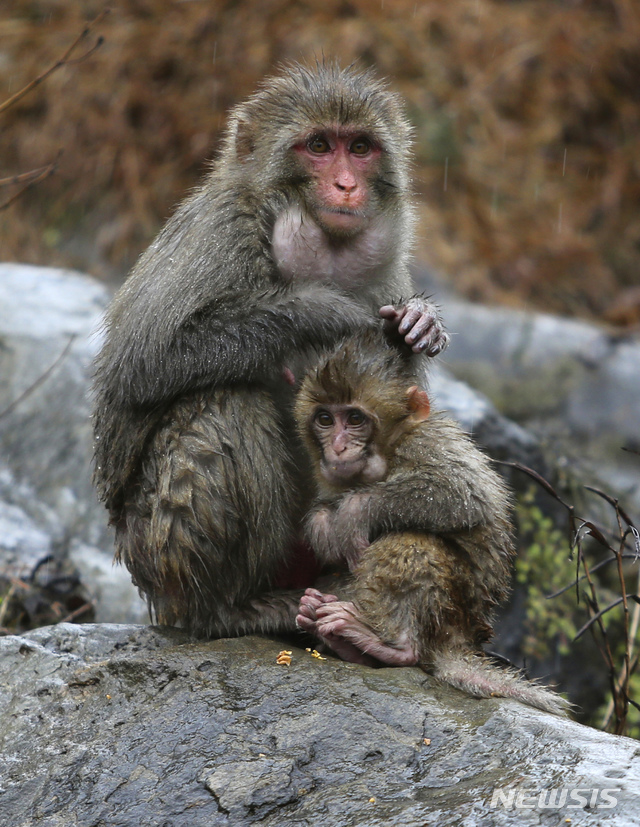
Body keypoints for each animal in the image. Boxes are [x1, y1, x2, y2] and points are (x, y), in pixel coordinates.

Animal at [92, 61, 448, 636]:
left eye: (361, 148)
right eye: (320, 146)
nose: (346, 185)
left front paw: (421, 320)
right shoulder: (220, 233)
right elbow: (141, 361)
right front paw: (318, 309)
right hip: (155, 555)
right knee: (227, 402)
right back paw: (226, 609)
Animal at [296, 332, 568, 720]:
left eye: (354, 418)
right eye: (324, 419)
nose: (337, 446)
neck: (388, 454)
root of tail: (464, 639)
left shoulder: (427, 443)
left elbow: (463, 494)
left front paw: (353, 511)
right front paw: (323, 524)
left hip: (453, 610)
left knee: (411, 541)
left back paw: (392, 646)